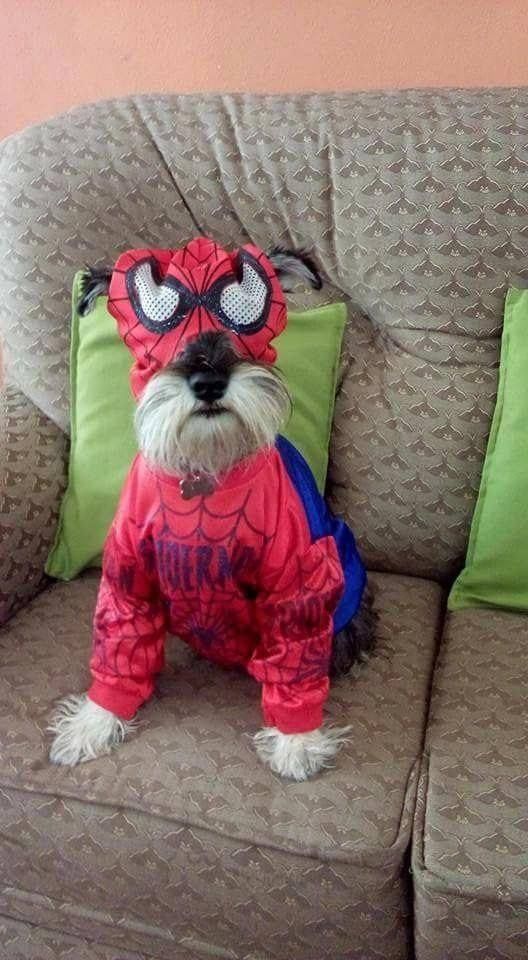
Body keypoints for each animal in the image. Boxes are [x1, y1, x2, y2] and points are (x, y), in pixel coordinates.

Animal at [47, 238, 374, 780]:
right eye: (159, 329)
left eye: (244, 321)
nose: (207, 381)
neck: (205, 470)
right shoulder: (129, 573)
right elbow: (118, 649)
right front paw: (95, 722)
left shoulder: (299, 582)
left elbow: (297, 664)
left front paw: (297, 740)